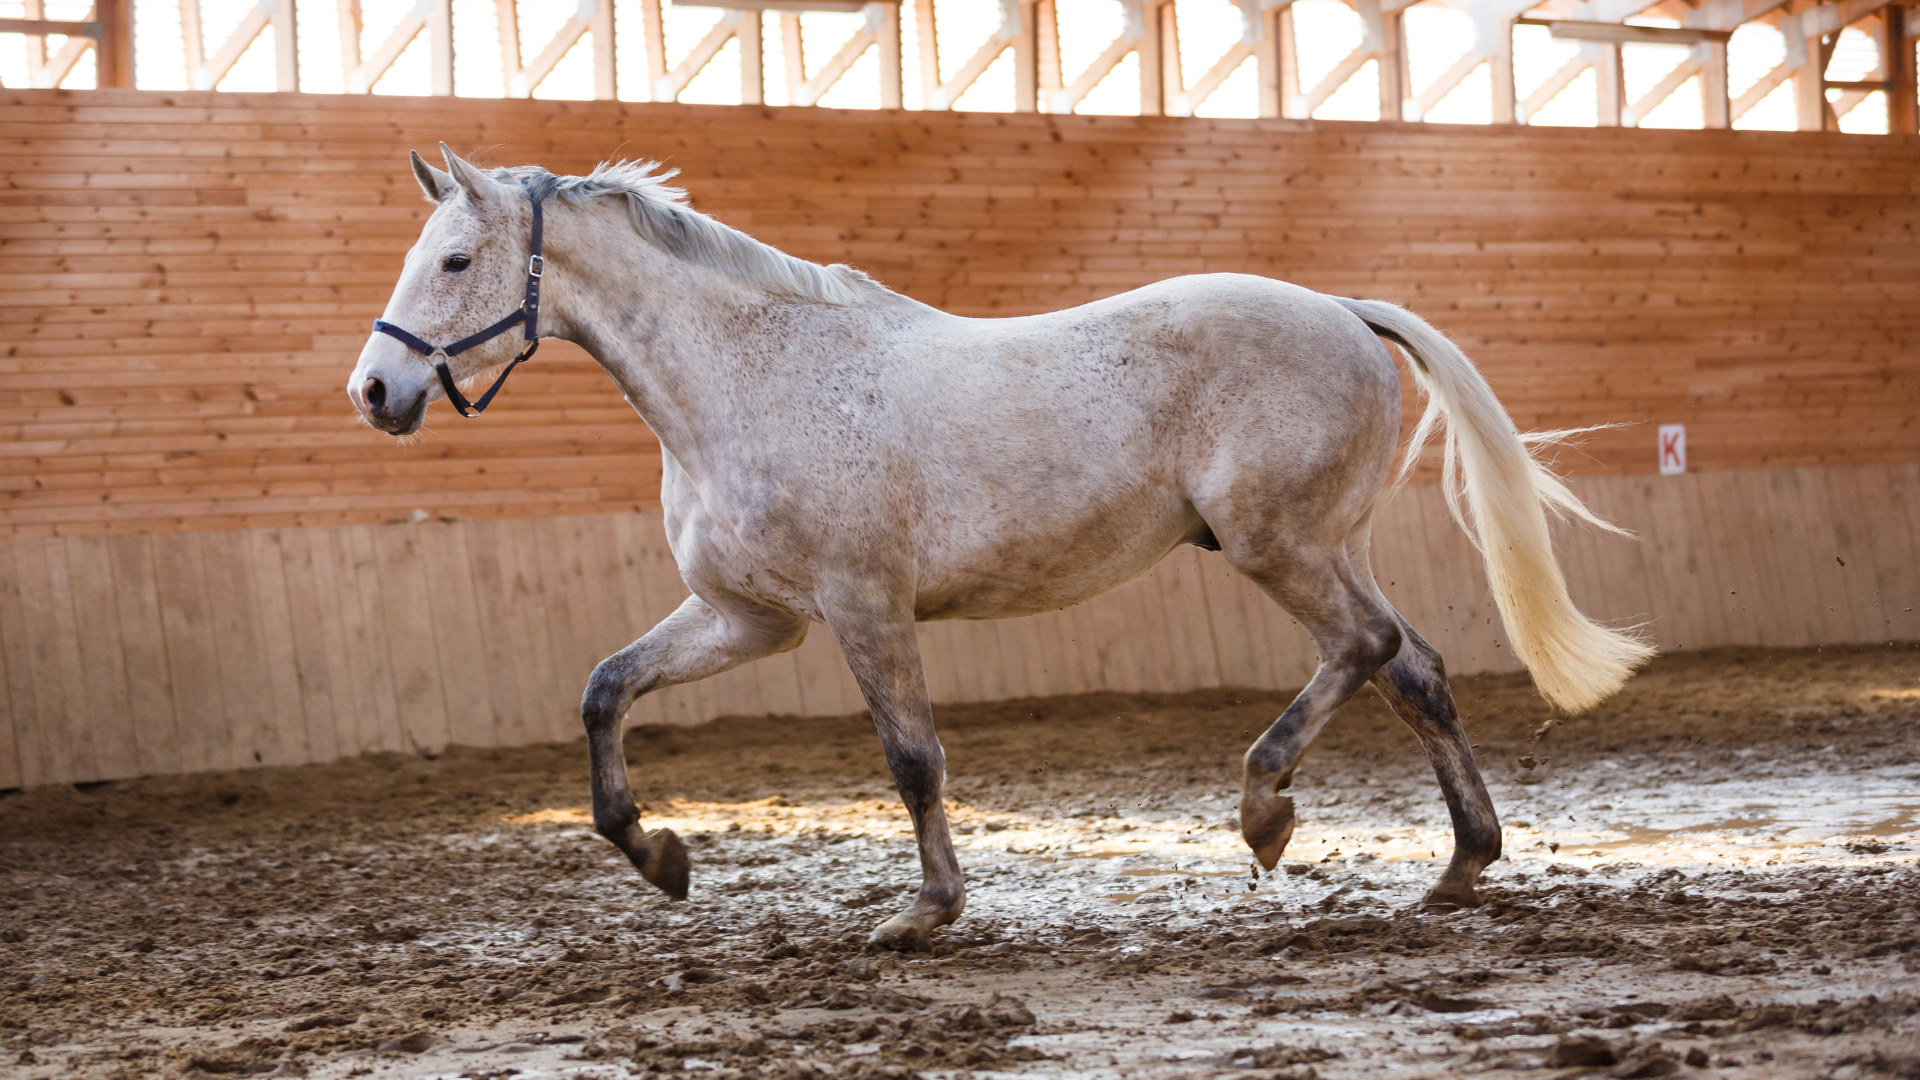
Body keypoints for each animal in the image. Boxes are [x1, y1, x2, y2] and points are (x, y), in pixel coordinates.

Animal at [357, 143, 1651, 941]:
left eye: (457, 261)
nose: (374, 392)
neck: (747, 380)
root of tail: (1342, 307)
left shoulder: (860, 605)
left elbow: (913, 759)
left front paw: (924, 913)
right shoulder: (751, 618)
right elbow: (604, 690)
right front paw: (661, 857)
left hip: (1276, 546)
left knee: (1369, 650)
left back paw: (1266, 810)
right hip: (1323, 546)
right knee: (1413, 670)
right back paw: (1459, 866)